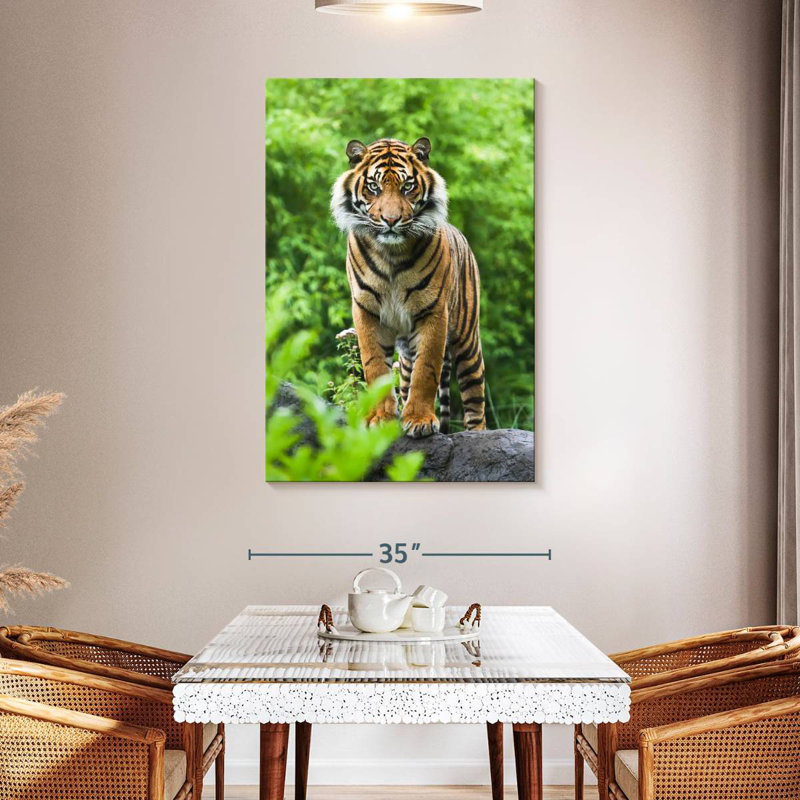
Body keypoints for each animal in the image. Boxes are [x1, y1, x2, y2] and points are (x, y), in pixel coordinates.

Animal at [331, 136, 485, 438]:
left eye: (407, 187)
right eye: (374, 187)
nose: (391, 220)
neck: (391, 254)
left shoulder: (433, 312)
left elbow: (427, 370)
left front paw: (420, 420)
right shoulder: (366, 310)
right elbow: (375, 367)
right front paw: (380, 418)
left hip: (468, 343)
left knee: (476, 404)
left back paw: (478, 435)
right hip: (405, 357)